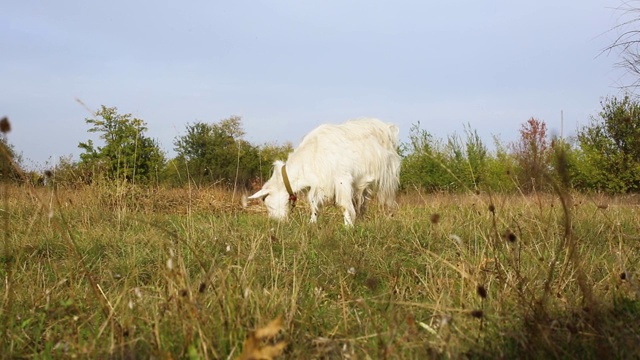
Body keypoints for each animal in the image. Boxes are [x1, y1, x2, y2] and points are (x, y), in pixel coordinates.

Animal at [249, 118, 400, 225]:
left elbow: (344, 204)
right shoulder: (319, 183)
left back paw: (389, 217)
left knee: (388, 197)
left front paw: (348, 226)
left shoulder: (342, 179)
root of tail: (387, 128)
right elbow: (313, 202)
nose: (275, 222)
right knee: (362, 200)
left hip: (388, 175)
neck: (310, 155)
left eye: (267, 202)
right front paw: (312, 222)